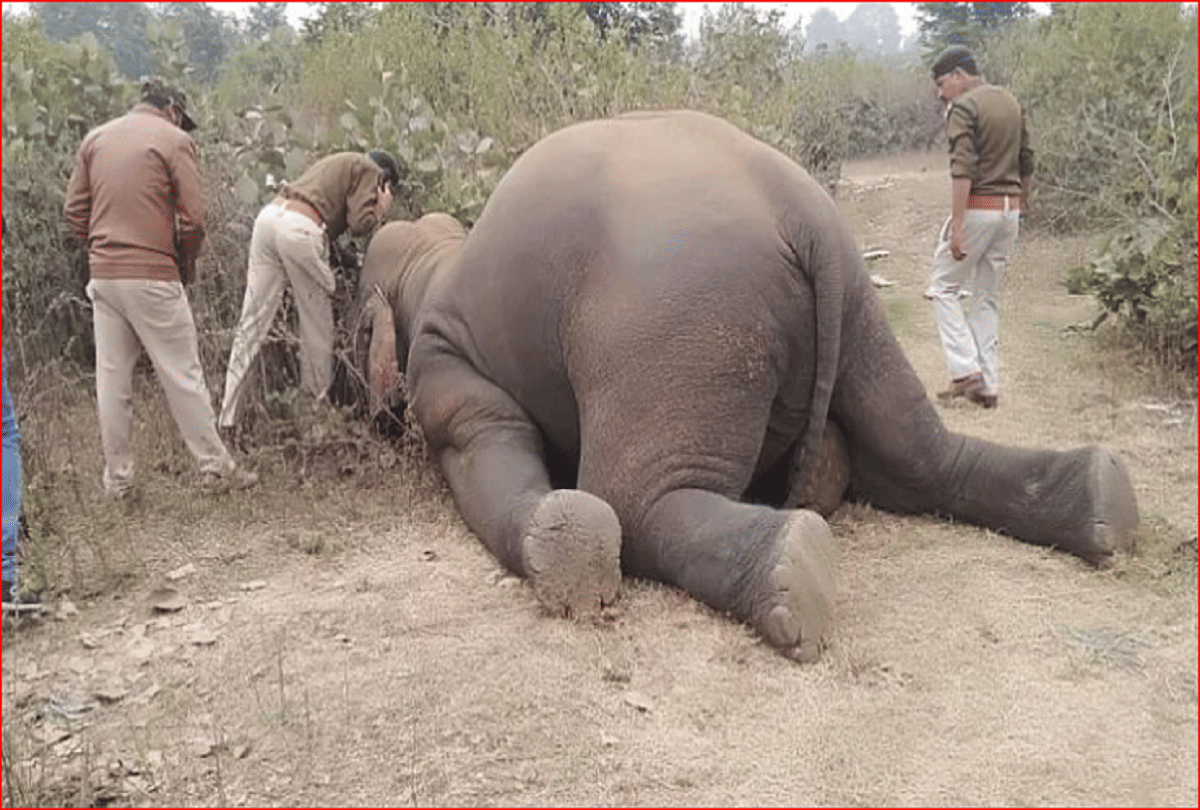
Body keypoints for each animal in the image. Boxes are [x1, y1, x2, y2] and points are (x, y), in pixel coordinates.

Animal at [353, 110, 1138, 663]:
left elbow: (483, 438)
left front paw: (566, 547)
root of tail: (803, 215)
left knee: (633, 500)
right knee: (917, 453)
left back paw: (795, 576)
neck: (435, 254)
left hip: (678, 326)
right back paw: (1105, 504)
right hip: (853, 307)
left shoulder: (442, 369)